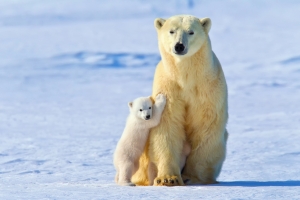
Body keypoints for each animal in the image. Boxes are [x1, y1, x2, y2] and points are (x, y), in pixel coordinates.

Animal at [132, 14, 229, 187]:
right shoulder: (169, 87)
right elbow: (167, 126)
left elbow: (205, 126)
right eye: (172, 31)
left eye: (191, 32)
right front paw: (168, 178)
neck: (186, 77)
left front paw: (193, 177)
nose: (179, 46)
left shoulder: (208, 88)